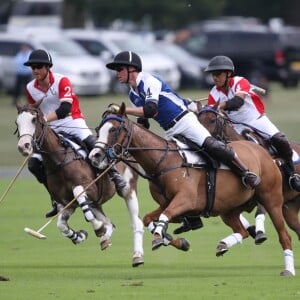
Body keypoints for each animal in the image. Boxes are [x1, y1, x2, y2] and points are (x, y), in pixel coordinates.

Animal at [15, 103, 145, 268]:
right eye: (17, 122)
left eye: (33, 119)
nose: (23, 146)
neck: (59, 161)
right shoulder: (67, 204)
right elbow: (61, 225)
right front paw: (80, 236)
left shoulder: (91, 189)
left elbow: (78, 193)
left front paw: (97, 228)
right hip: (96, 203)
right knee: (109, 223)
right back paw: (104, 238)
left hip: (128, 190)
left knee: (136, 222)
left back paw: (137, 256)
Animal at [198, 104, 300, 240]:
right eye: (198, 120)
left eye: (212, 120)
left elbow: (259, 212)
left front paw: (260, 233)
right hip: (290, 207)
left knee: (279, 137)